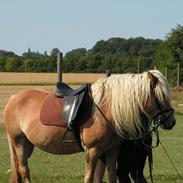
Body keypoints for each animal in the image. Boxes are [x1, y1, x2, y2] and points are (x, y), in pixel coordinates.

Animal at [2, 69, 174, 182]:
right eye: (161, 96)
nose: (171, 122)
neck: (105, 110)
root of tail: (13, 98)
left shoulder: (112, 151)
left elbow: (112, 177)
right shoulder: (92, 151)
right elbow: (89, 178)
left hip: (28, 144)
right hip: (19, 142)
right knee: (24, 170)